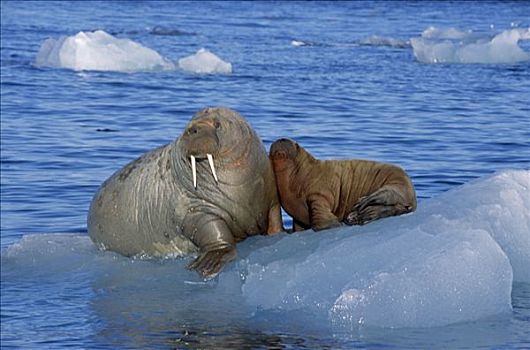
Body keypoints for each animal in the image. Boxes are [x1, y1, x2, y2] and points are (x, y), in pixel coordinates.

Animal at [88, 108, 282, 278]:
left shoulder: (271, 198)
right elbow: (213, 232)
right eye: (190, 122)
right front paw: (208, 263)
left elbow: (275, 219)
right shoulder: (194, 210)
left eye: (217, 124)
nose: (192, 130)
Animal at [270, 138, 414, 231]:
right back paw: (359, 215)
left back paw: (361, 206)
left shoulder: (319, 194)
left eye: (296, 145)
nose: (282, 139)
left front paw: (332, 224)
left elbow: (320, 212)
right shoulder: (297, 216)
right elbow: (298, 226)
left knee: (385, 197)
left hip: (397, 184)